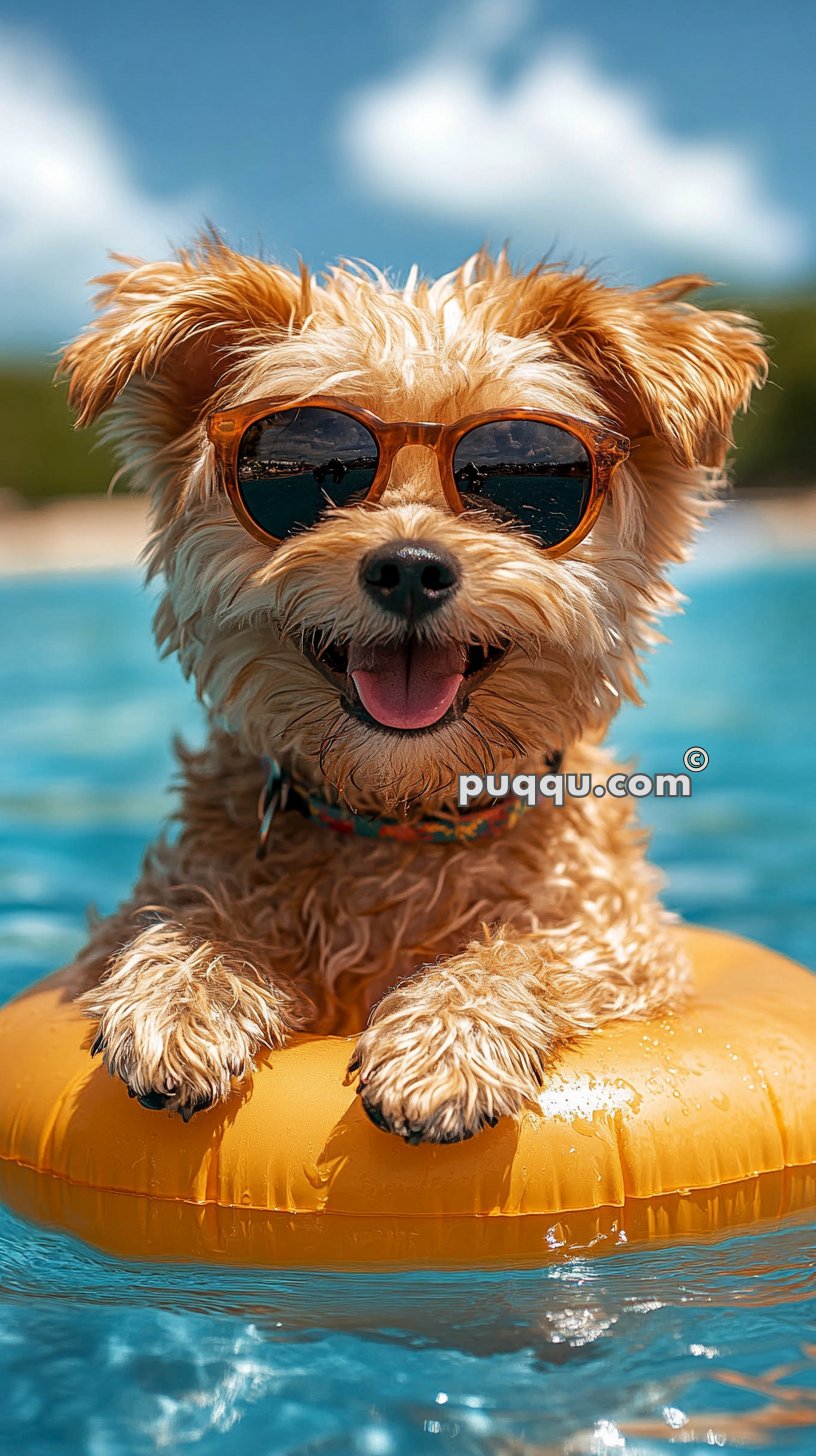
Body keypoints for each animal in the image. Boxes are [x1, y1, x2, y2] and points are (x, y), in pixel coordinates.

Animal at [59, 238, 763, 1141]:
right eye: (306, 466)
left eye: (520, 471)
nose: (409, 566)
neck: (403, 813)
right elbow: (183, 912)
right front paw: (185, 978)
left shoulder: (633, 950)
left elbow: (557, 945)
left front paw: (452, 1028)